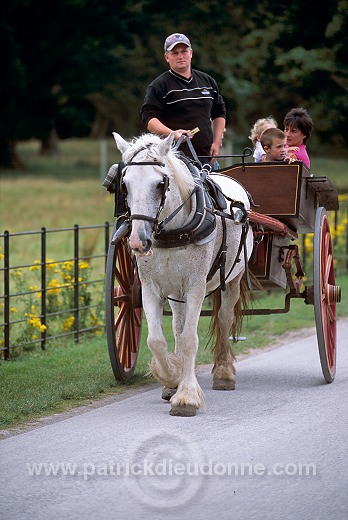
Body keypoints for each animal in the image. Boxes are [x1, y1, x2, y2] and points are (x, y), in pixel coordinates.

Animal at [113, 132, 253, 416]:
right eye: (125, 185)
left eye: (160, 183)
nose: (137, 242)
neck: (171, 230)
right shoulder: (151, 288)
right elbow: (157, 340)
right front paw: (171, 378)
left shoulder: (195, 286)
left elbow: (190, 338)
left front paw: (186, 396)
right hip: (175, 292)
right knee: (177, 325)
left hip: (231, 279)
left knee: (224, 319)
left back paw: (224, 373)